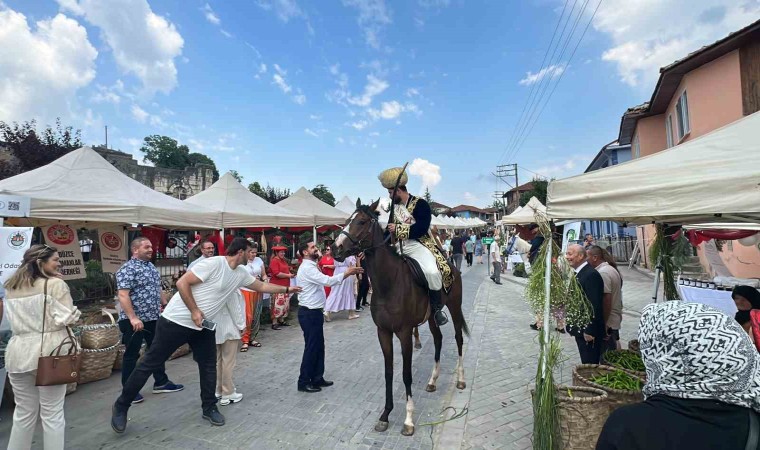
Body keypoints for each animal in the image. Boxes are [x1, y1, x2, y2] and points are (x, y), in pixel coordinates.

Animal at [332, 200, 470, 436]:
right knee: (438, 339)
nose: (335, 248)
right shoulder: (383, 333)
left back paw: (460, 380)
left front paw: (408, 419)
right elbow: (389, 372)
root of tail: (451, 264)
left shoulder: (405, 333)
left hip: (455, 307)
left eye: (361, 221)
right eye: (347, 220)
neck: (389, 283)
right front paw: (385, 415)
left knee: (458, 338)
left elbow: (406, 374)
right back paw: (433, 380)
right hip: (432, 318)